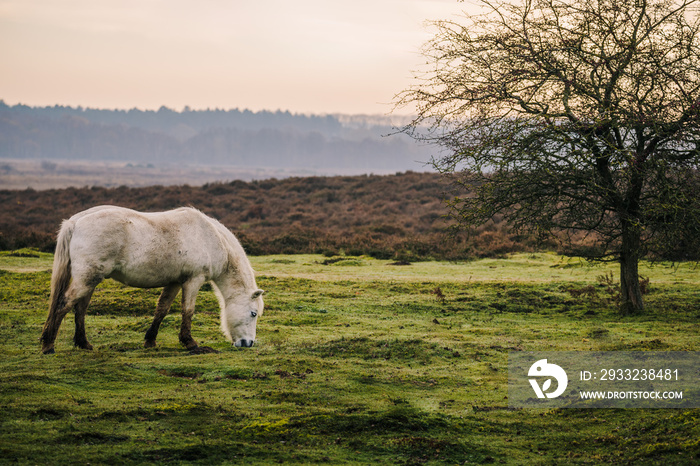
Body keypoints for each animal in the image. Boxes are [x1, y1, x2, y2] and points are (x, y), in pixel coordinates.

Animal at [41, 206, 266, 354]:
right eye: (253, 313)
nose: (248, 343)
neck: (210, 237)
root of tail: (75, 222)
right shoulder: (193, 280)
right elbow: (188, 310)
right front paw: (190, 343)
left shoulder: (175, 282)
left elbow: (162, 309)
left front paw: (150, 341)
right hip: (87, 278)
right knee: (64, 304)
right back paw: (48, 345)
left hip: (90, 279)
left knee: (80, 308)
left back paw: (83, 344)